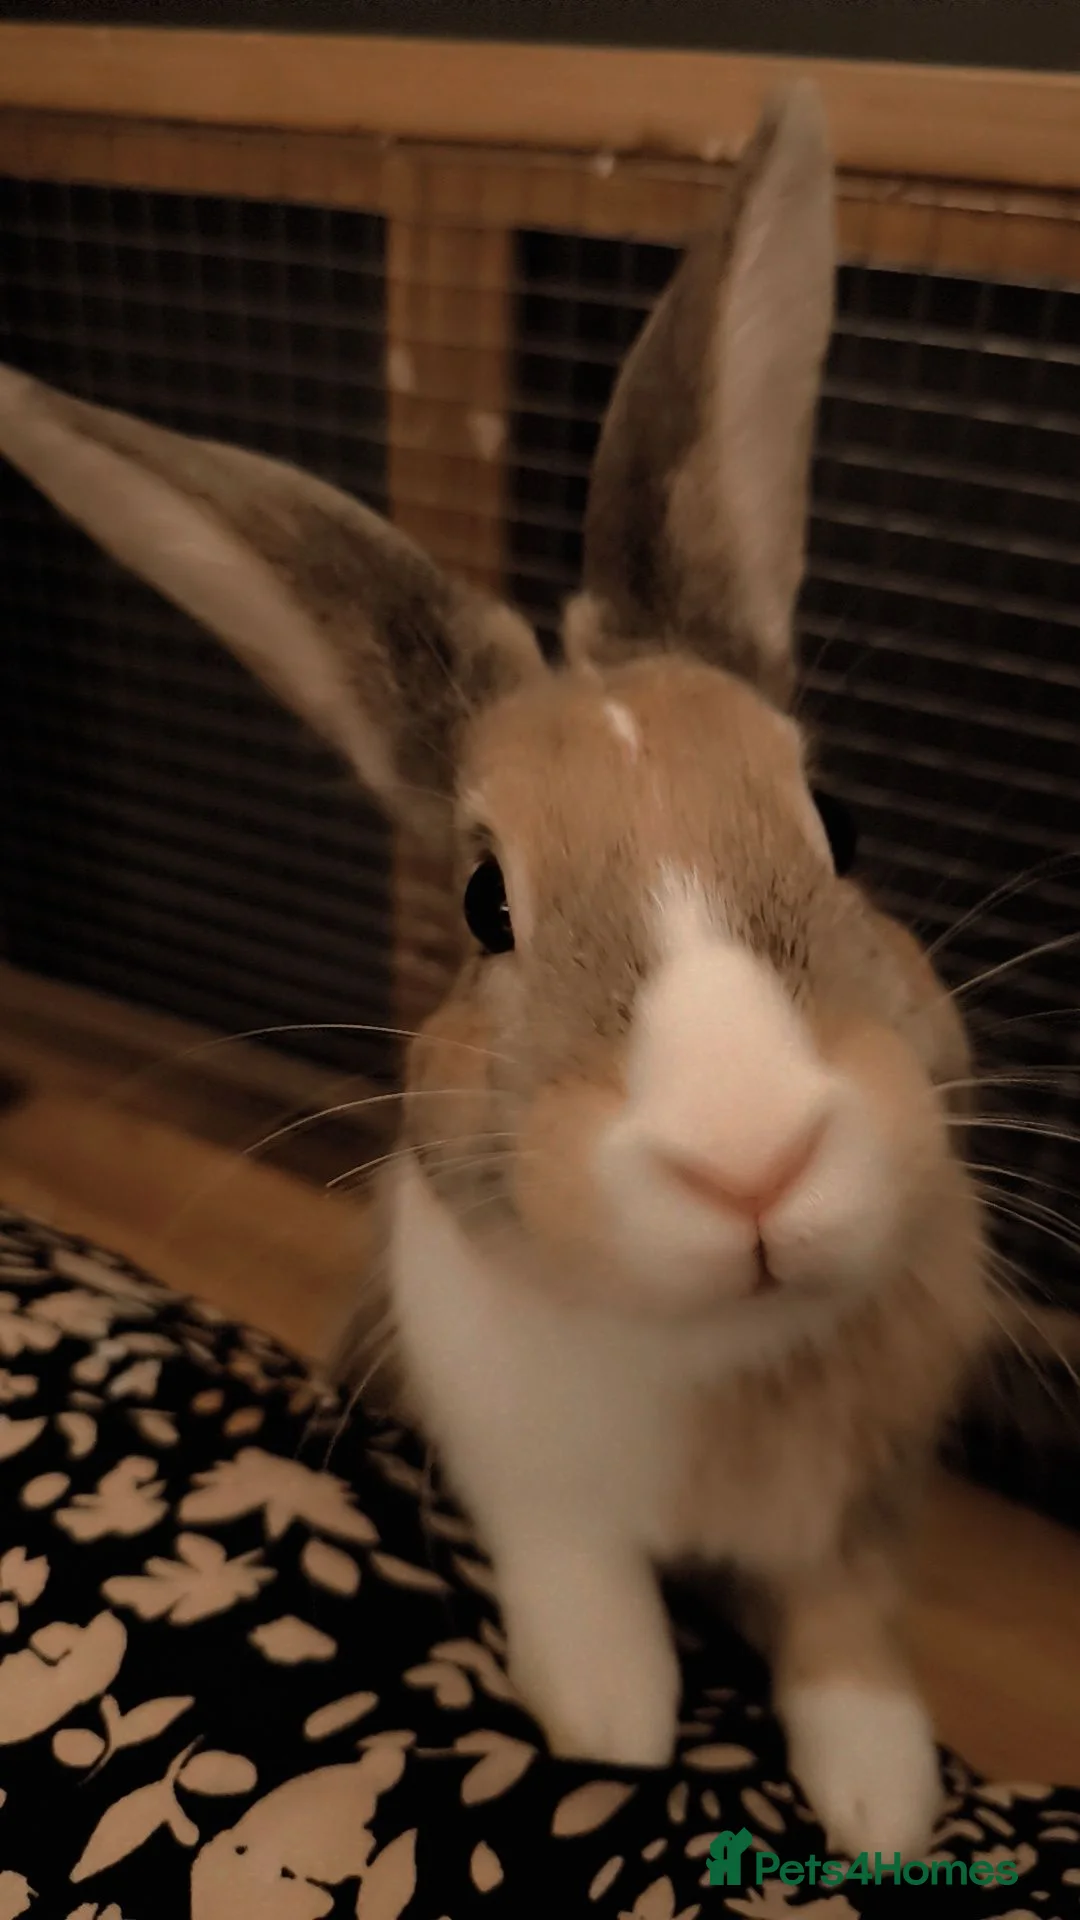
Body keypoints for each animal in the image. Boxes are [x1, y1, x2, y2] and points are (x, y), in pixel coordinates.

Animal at [0, 82, 990, 1861]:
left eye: (845, 822)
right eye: (481, 900)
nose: (750, 1157)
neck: (708, 1350)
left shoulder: (856, 1515)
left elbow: (846, 1624)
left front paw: (883, 1800)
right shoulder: (517, 1466)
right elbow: (581, 1582)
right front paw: (612, 1720)